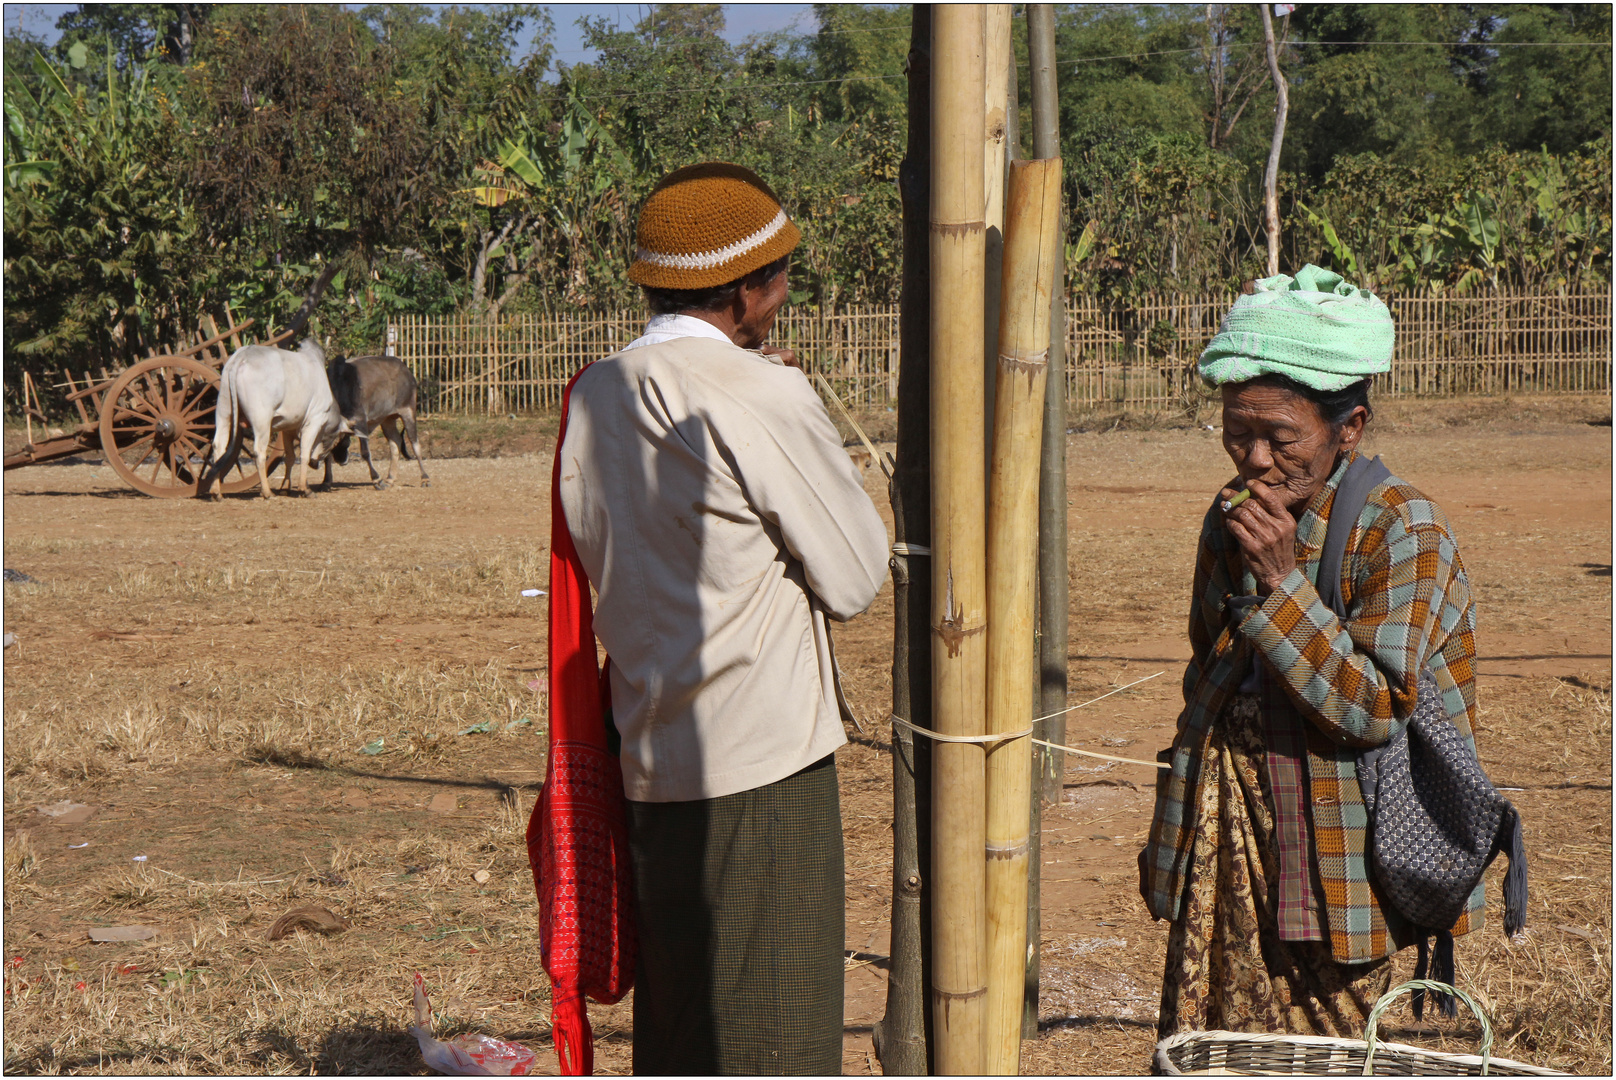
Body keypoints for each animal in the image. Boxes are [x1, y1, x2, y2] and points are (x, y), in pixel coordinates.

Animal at [201, 337, 350, 497]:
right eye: (338, 440)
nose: (315, 464)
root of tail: (241, 357)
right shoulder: (314, 420)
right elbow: (304, 454)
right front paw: (305, 489)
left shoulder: (288, 428)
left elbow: (290, 457)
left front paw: (286, 487)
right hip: (261, 421)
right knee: (259, 452)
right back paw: (267, 492)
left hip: (224, 410)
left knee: (219, 447)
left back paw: (216, 492)